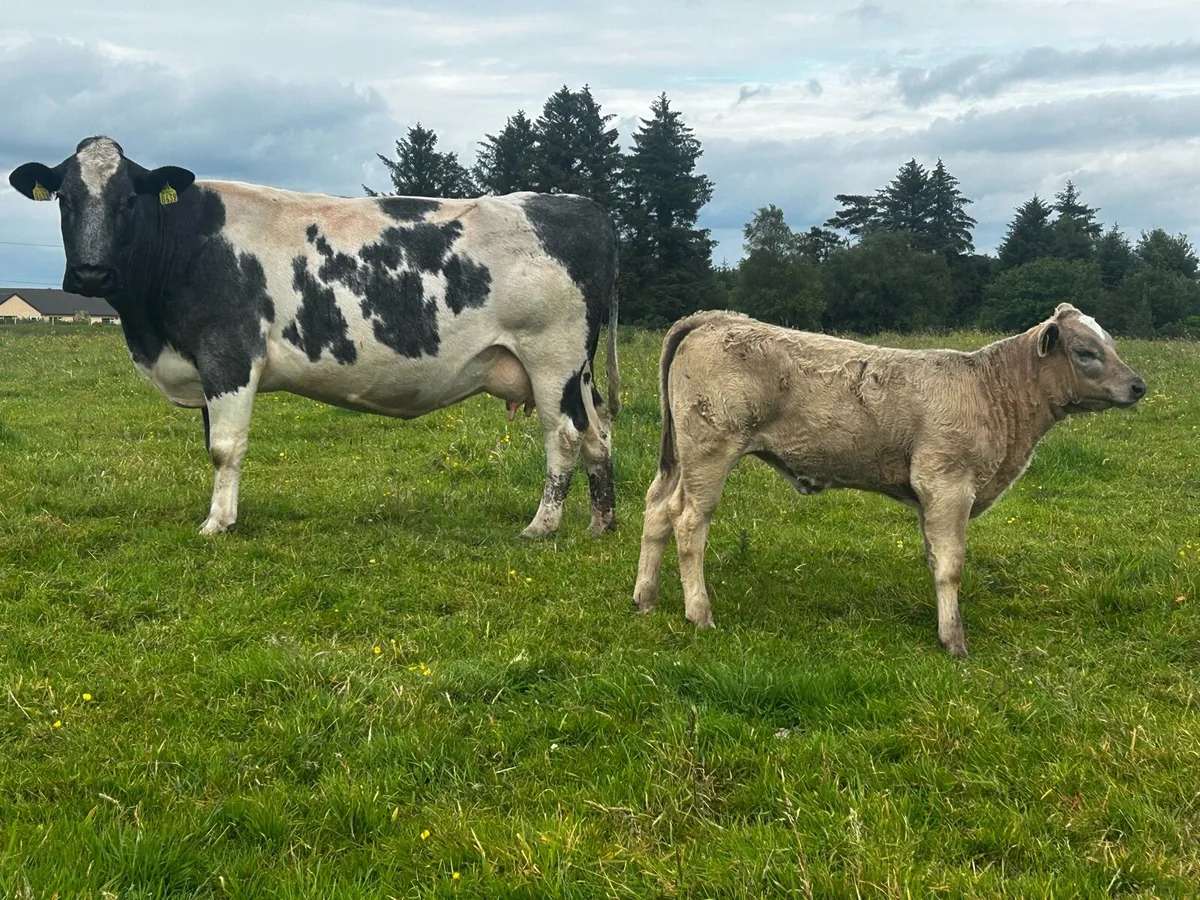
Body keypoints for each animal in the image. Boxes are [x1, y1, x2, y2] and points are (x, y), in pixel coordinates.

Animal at [9, 136, 620, 538]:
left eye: (128, 199)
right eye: (65, 198)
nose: (90, 274)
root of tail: (581, 206)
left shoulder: (229, 355)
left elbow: (224, 447)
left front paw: (217, 524)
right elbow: (214, 446)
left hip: (552, 357)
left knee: (564, 436)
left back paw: (542, 527)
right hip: (579, 370)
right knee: (599, 433)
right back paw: (601, 522)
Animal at [633, 306, 1146, 657]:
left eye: (1112, 343)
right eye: (1085, 352)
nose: (1138, 386)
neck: (990, 391)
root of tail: (714, 318)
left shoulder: (931, 495)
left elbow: (934, 558)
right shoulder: (948, 482)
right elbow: (951, 564)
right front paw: (954, 640)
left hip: (678, 457)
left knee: (656, 509)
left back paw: (646, 598)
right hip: (710, 450)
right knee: (688, 522)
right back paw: (699, 613)